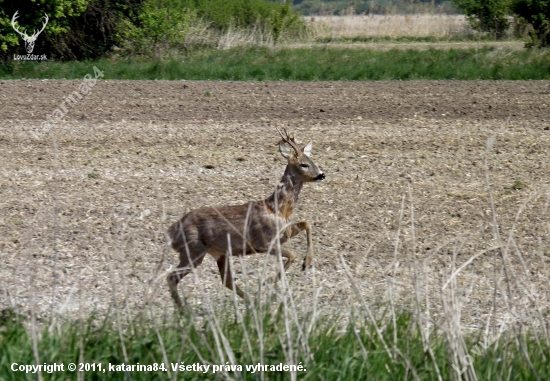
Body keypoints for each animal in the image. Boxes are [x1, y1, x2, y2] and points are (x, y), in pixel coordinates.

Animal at [166, 127, 326, 306]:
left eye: (312, 160)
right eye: (303, 164)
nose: (321, 174)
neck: (277, 209)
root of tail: (172, 231)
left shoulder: (284, 233)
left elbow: (306, 224)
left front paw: (307, 262)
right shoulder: (263, 242)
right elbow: (292, 254)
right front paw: (268, 281)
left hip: (219, 253)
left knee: (226, 281)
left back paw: (252, 303)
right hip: (193, 249)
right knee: (172, 277)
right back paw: (183, 309)